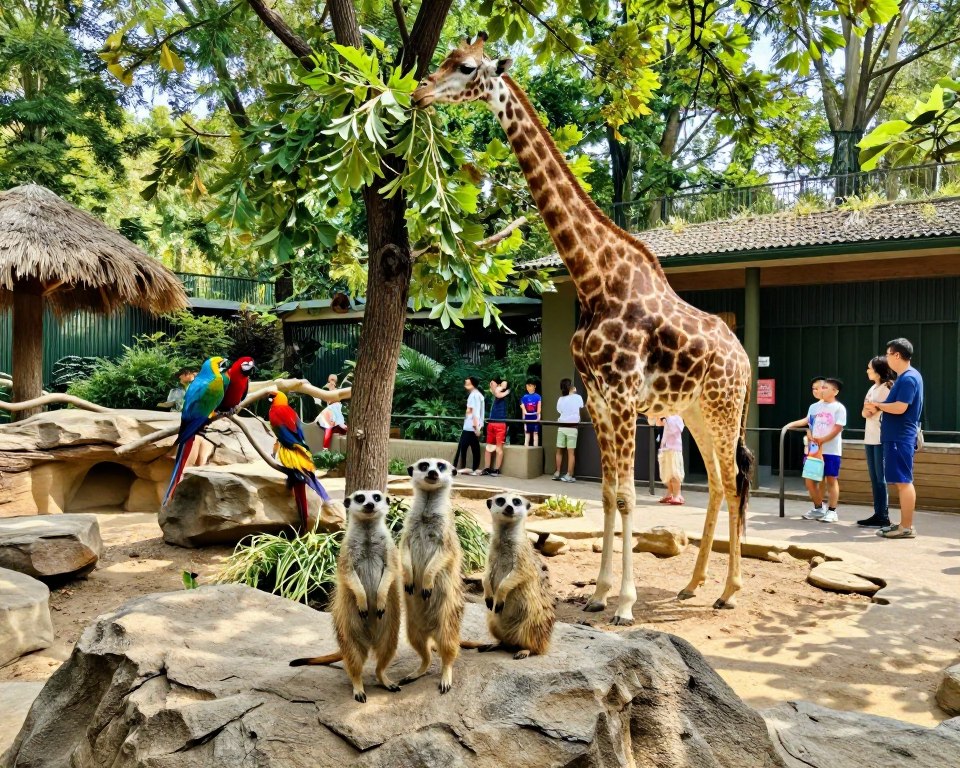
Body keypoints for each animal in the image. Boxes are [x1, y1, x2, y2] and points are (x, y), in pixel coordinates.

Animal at [414, 34, 754, 623]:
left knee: (732, 482)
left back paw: (729, 590)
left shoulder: (621, 396)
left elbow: (628, 495)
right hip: (693, 411)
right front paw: (598, 594)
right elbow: (609, 495)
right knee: (714, 482)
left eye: (468, 67)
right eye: (448, 59)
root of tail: (745, 358)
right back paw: (694, 585)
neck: (593, 278)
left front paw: (626, 604)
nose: (419, 93)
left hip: (722, 406)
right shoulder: (597, 399)